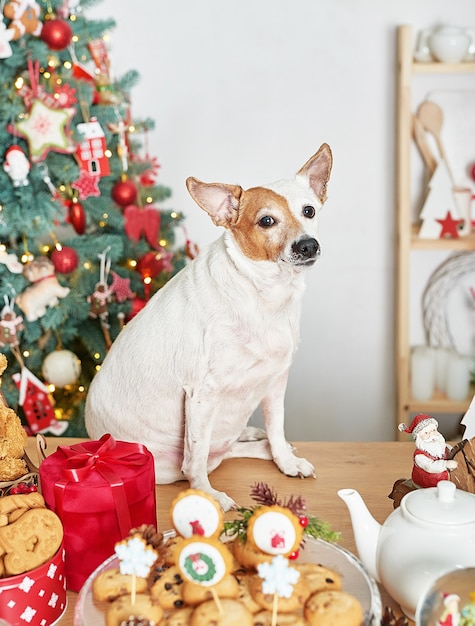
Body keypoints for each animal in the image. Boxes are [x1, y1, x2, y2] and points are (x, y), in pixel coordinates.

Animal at [85, 144, 332, 510]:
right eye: (267, 221)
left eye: (309, 211)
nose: (308, 245)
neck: (262, 294)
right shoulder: (202, 393)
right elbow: (196, 455)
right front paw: (206, 494)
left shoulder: (275, 381)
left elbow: (277, 429)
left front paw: (285, 461)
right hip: (167, 462)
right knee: (201, 459)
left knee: (235, 447)